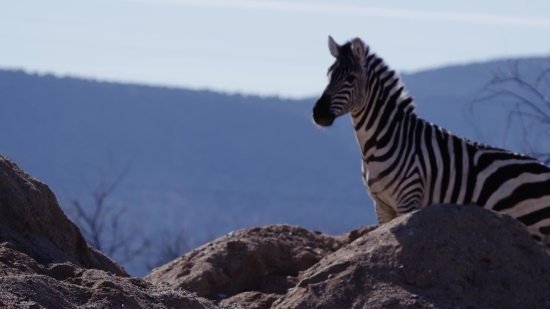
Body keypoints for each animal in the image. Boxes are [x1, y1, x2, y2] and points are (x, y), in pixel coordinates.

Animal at [312, 35, 550, 243]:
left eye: (350, 78)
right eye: (328, 75)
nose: (318, 114)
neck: (383, 139)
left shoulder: (408, 199)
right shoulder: (382, 207)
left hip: (538, 224)